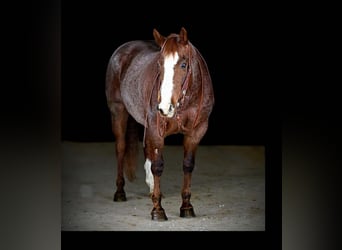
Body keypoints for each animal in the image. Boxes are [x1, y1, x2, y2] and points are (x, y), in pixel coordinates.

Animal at [105, 26, 215, 220]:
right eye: (159, 65)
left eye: (183, 65)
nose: (164, 107)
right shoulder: (157, 131)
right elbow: (158, 166)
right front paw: (157, 210)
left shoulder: (196, 132)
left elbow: (188, 165)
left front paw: (186, 207)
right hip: (118, 112)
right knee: (120, 149)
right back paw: (120, 192)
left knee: (147, 151)